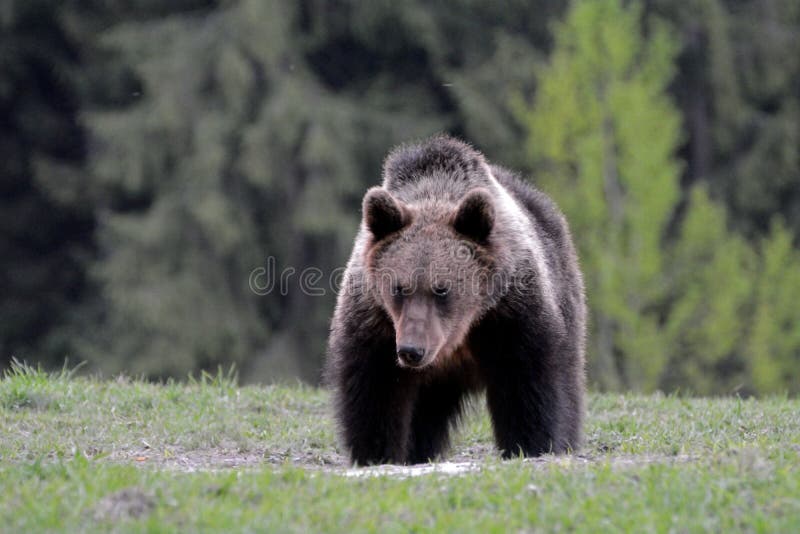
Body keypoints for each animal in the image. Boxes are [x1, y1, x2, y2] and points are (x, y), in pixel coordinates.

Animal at [324, 136, 588, 466]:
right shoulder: (376, 322)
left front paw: (531, 445)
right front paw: (378, 454)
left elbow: (528, 385)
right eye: (399, 288)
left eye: (441, 289)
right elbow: (375, 393)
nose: (412, 350)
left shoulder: (511, 314)